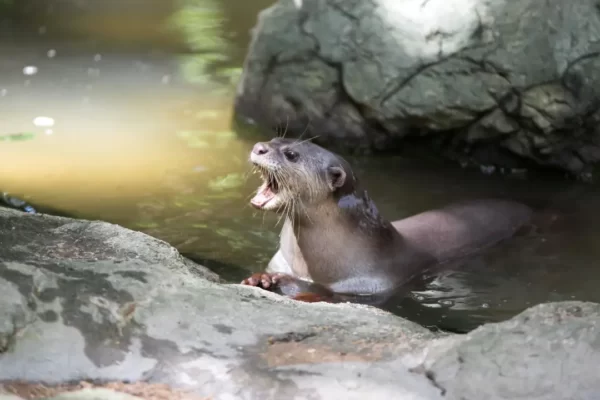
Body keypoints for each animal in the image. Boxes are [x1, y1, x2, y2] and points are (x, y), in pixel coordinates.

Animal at [241, 138, 532, 304]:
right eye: (274, 138)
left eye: (292, 155)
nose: (259, 147)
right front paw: (261, 279)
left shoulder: (370, 285)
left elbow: (333, 296)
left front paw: (307, 295)